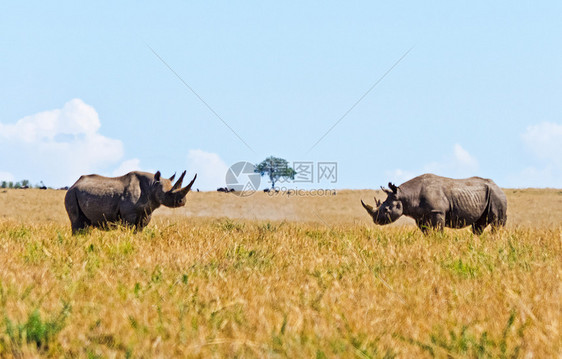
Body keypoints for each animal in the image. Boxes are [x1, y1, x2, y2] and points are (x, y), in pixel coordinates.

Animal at [64, 171, 196, 235]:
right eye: (168, 194)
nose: (182, 202)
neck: (152, 185)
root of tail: (74, 184)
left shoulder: (146, 212)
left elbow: (139, 230)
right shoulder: (129, 215)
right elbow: (128, 229)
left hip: (77, 193)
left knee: (85, 225)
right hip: (71, 194)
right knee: (77, 223)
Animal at [360, 173, 506, 235]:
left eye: (386, 210)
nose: (376, 221)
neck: (406, 195)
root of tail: (499, 187)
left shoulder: (437, 212)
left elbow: (438, 231)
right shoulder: (420, 217)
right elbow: (426, 232)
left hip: (497, 196)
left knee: (497, 222)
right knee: (478, 225)